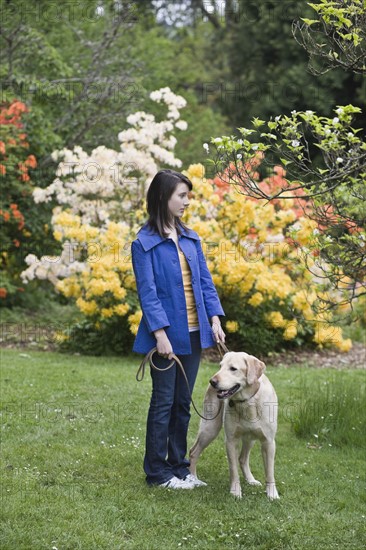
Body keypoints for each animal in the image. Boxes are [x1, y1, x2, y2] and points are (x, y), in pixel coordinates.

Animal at [190, 354, 278, 500]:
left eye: (233, 368)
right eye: (220, 366)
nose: (212, 382)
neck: (248, 402)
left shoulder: (269, 442)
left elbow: (270, 471)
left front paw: (272, 494)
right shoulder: (231, 440)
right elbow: (233, 469)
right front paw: (235, 491)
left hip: (250, 438)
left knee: (242, 459)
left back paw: (251, 480)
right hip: (210, 429)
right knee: (193, 452)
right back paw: (193, 479)